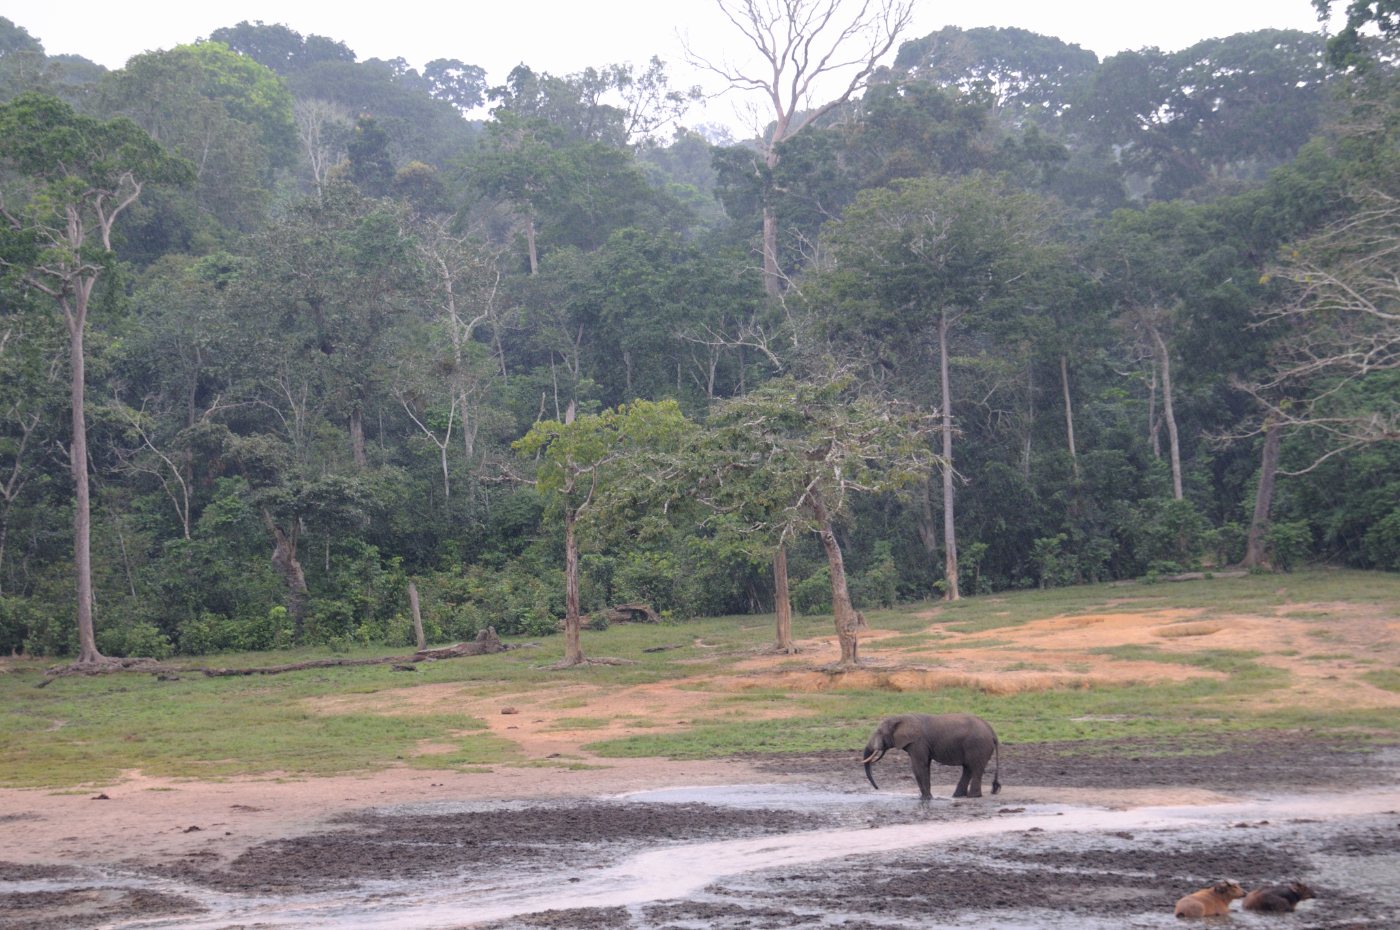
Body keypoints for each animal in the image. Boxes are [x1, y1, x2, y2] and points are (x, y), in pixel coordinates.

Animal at [860, 713, 1001, 799]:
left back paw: (972, 796)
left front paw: (926, 798)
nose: (877, 788)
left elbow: (918, 767)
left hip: (978, 745)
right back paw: (958, 796)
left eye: (879, 732)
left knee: (975, 768)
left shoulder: (918, 742)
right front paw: (927, 798)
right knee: (968, 768)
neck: (901, 718)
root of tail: (992, 732)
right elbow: (925, 766)